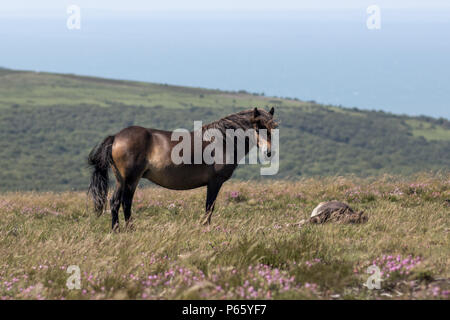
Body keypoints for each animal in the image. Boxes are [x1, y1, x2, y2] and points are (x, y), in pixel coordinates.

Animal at [88, 107, 276, 230]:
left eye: (273, 128)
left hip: (122, 180)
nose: (268, 152)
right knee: (124, 202)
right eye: (258, 127)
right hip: (130, 180)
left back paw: (117, 230)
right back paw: (128, 229)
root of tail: (116, 137)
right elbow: (209, 207)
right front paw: (205, 227)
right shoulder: (214, 182)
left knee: (116, 202)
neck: (221, 142)